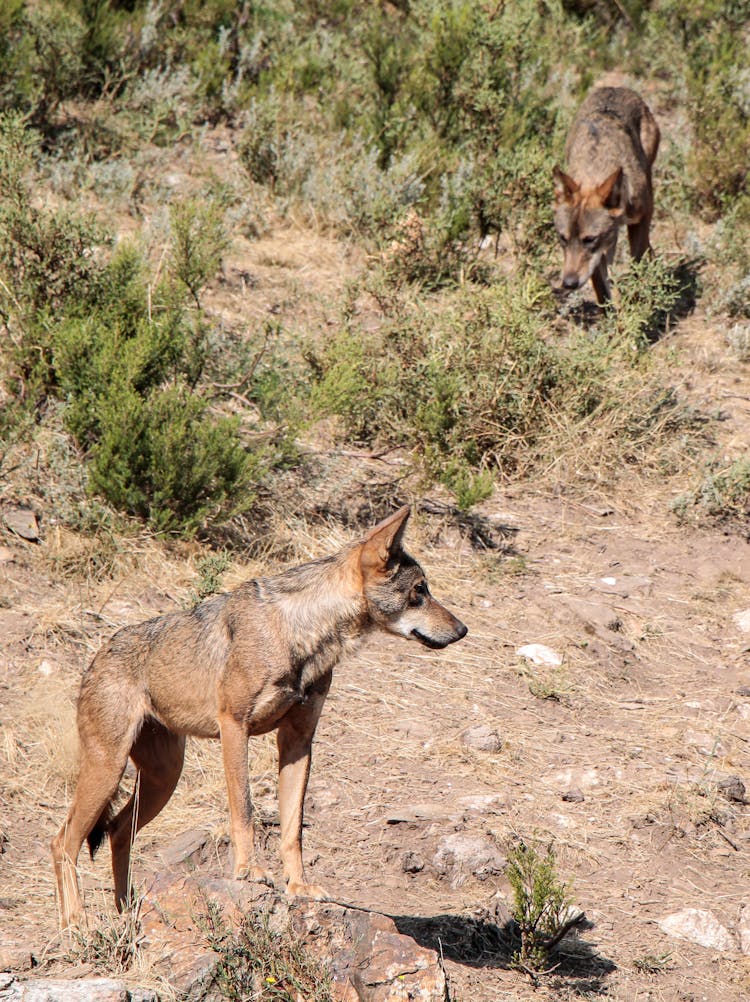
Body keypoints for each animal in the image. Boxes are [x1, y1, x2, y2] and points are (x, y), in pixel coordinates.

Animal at [51, 509, 462, 929]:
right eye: (419, 591)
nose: (461, 630)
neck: (300, 632)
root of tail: (97, 654)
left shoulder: (298, 741)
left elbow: (293, 828)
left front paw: (298, 886)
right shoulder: (234, 727)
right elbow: (244, 810)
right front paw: (248, 871)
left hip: (163, 779)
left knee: (116, 832)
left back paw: (126, 914)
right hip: (110, 769)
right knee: (62, 840)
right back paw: (75, 923)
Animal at [548, 85, 660, 304]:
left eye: (589, 239)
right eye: (563, 238)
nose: (569, 284)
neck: (594, 169)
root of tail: (615, 88)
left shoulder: (643, 216)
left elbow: (637, 262)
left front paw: (636, 303)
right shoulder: (597, 257)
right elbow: (601, 289)